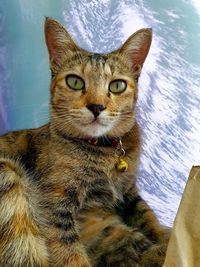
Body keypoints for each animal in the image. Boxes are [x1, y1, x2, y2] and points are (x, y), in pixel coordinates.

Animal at [0, 17, 169, 266]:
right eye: (75, 82)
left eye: (117, 85)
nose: (96, 106)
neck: (105, 151)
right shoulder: (55, 205)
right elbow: (70, 251)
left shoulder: (130, 192)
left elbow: (149, 218)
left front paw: (165, 239)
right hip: (8, 176)